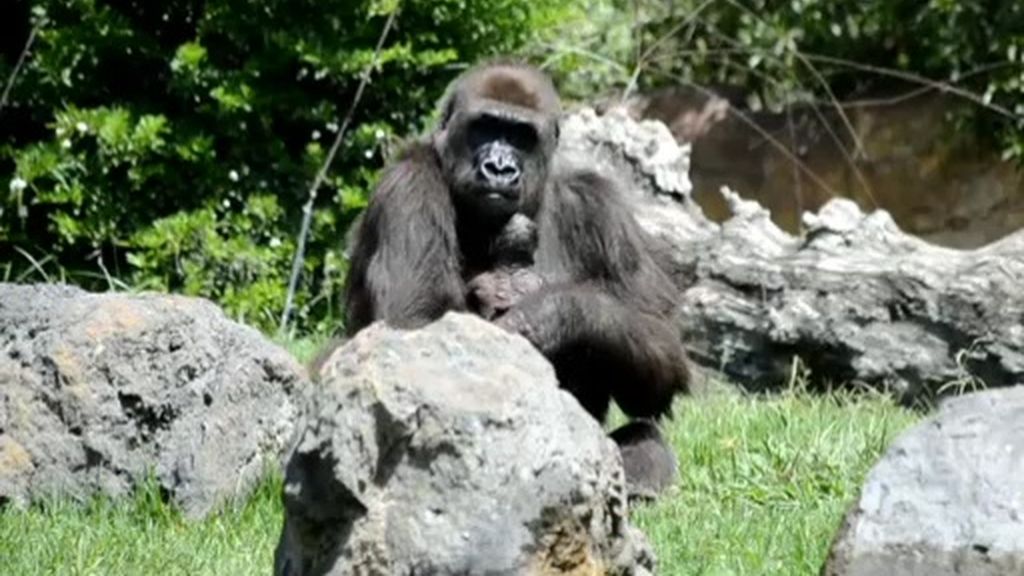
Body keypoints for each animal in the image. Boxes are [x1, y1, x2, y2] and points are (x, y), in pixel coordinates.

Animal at [342, 59, 688, 494]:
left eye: (522, 136)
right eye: (485, 126)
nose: (500, 168)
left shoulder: (602, 207)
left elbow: (660, 353)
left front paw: (555, 313)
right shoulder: (407, 185)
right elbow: (414, 324)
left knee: (647, 439)